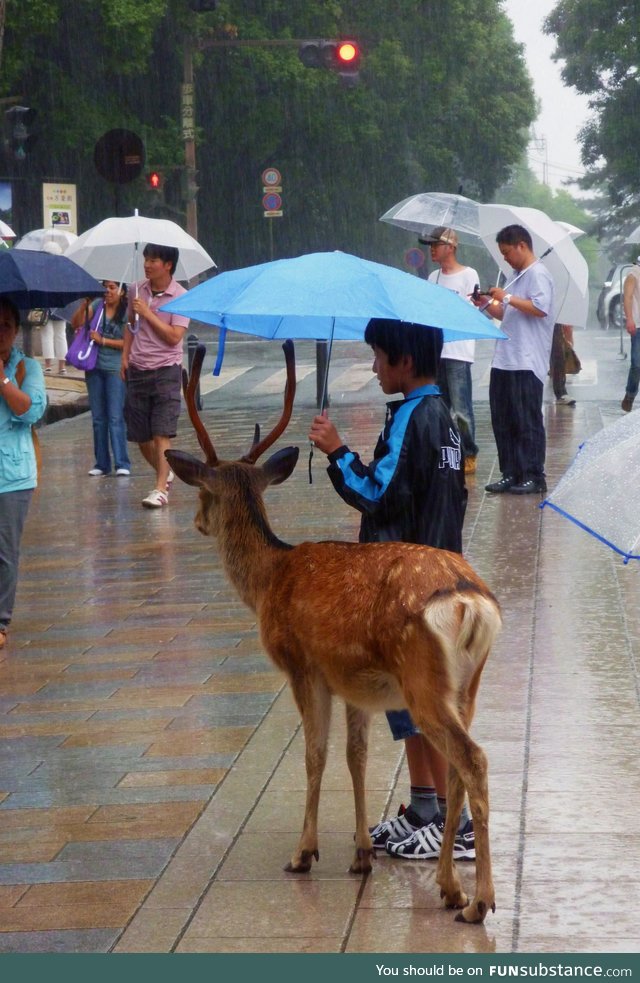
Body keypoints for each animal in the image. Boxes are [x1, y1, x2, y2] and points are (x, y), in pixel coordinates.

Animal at [168, 340, 502, 924]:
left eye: (203, 494)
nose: (198, 523)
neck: (269, 580)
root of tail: (470, 600)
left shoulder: (304, 665)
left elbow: (315, 755)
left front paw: (304, 852)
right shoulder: (355, 683)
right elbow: (357, 756)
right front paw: (361, 854)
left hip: (423, 680)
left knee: (473, 761)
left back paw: (477, 900)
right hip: (467, 683)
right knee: (457, 768)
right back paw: (448, 887)